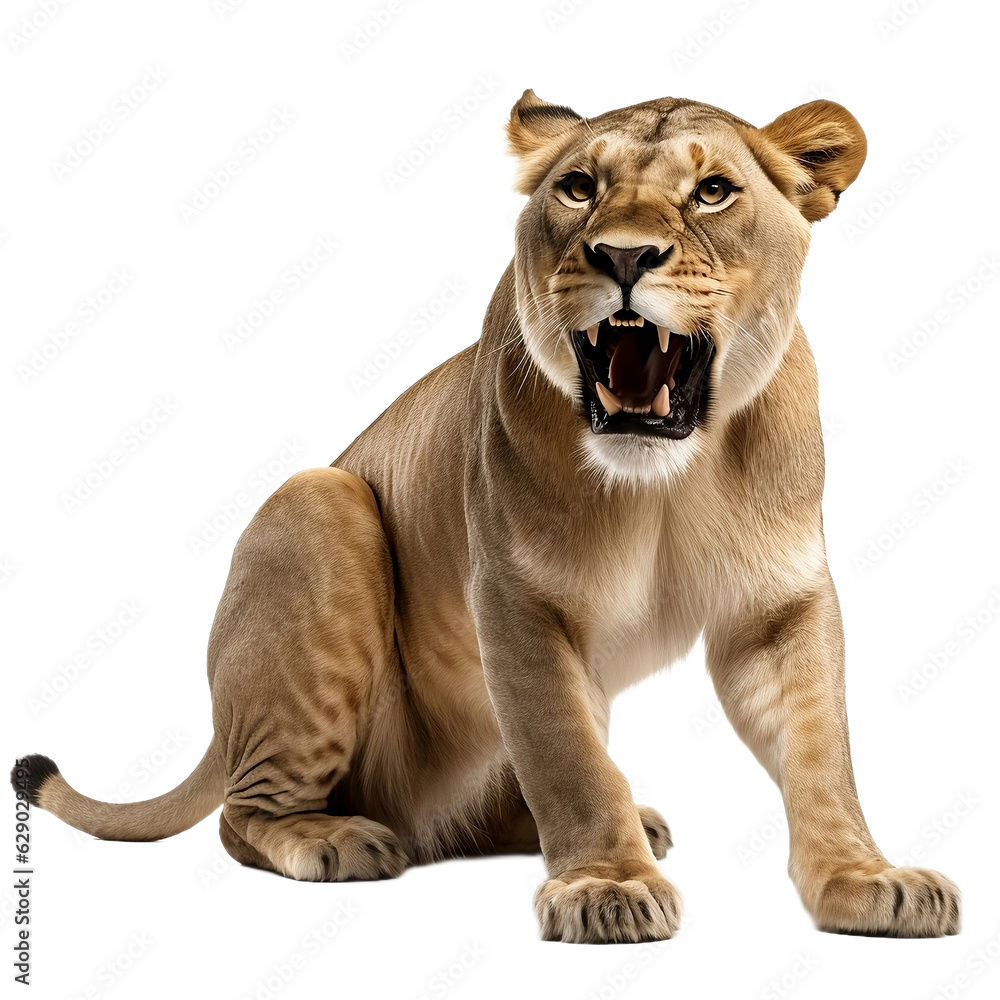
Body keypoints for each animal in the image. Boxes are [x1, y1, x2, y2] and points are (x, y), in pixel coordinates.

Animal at [11, 90, 960, 943]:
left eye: (714, 192)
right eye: (578, 187)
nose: (623, 256)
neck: (667, 481)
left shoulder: (781, 604)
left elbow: (822, 753)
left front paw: (867, 879)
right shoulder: (517, 598)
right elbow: (567, 756)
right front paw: (606, 887)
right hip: (319, 502)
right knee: (242, 815)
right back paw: (336, 839)